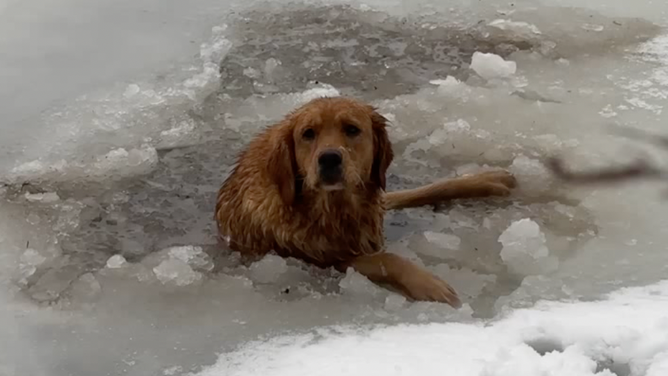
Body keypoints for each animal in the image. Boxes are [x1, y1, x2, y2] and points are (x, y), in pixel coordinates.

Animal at [214, 97, 516, 308]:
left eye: (352, 129)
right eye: (308, 133)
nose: (329, 159)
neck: (334, 208)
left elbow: (425, 190)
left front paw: (487, 179)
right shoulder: (321, 257)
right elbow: (388, 258)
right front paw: (430, 285)